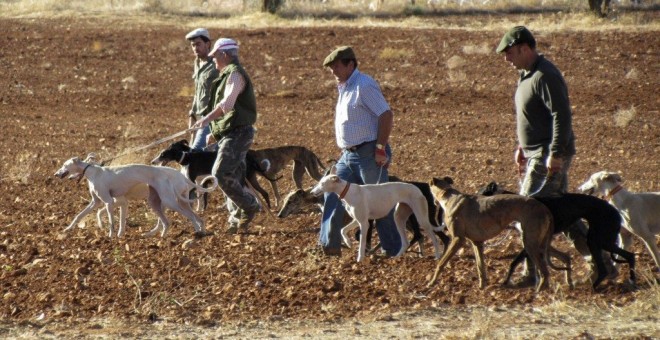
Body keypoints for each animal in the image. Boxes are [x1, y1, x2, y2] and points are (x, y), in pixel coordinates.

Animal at [151, 139, 280, 209]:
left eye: (163, 154)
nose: (152, 161)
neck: (188, 157)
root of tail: (249, 156)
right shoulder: (199, 182)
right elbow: (200, 197)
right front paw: (199, 209)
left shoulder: (196, 182)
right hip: (247, 180)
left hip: (245, 181)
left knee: (259, 193)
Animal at [428, 177, 556, 290]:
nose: (433, 203)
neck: (448, 196)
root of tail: (544, 208)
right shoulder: (477, 242)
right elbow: (480, 267)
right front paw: (481, 287)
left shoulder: (457, 239)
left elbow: (441, 263)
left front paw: (431, 282)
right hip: (538, 242)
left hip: (529, 243)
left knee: (544, 272)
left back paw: (538, 293)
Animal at [480, 181, 636, 290]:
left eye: (483, 192)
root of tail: (614, 211)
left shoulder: (530, 241)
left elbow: (514, 262)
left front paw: (505, 281)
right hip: (600, 240)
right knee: (628, 256)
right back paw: (630, 281)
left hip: (597, 240)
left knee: (609, 266)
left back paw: (595, 287)